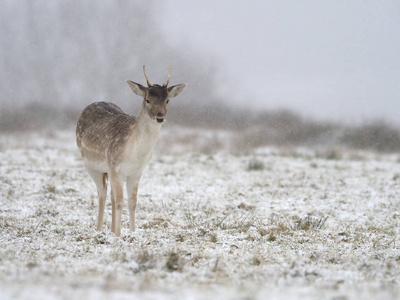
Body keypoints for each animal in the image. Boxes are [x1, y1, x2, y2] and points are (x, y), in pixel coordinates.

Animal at [77, 66, 188, 237]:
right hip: (90, 164)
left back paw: (109, 229)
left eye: (167, 100)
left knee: (111, 195)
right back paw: (99, 229)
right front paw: (118, 235)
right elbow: (120, 202)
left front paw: (132, 232)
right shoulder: (114, 166)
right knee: (102, 193)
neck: (133, 154)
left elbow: (132, 202)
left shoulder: (136, 172)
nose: (160, 117)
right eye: (148, 99)